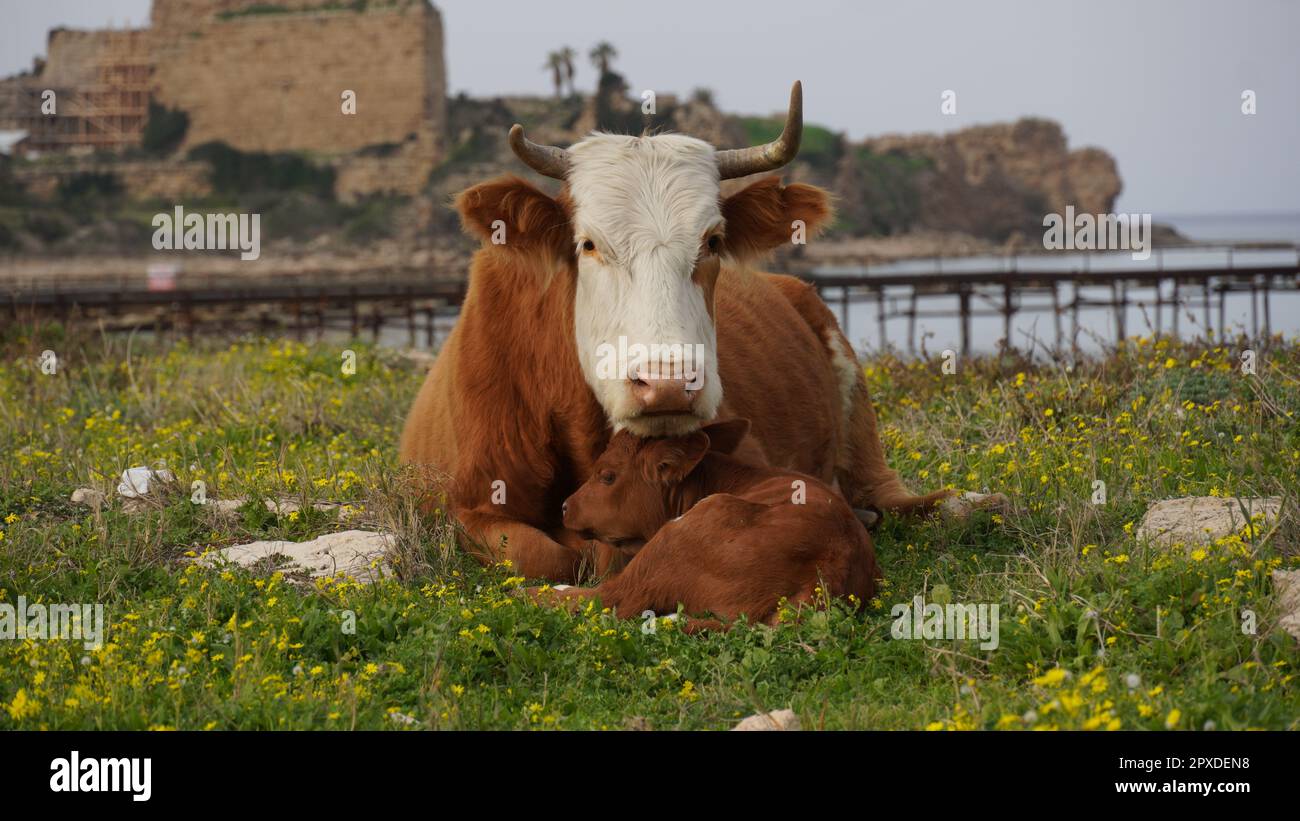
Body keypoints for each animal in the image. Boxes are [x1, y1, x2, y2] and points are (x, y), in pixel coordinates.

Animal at [530, 420, 883, 631]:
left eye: (607, 476)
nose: (565, 507)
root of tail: (833, 565)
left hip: (680, 535)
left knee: (610, 597)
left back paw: (534, 592)